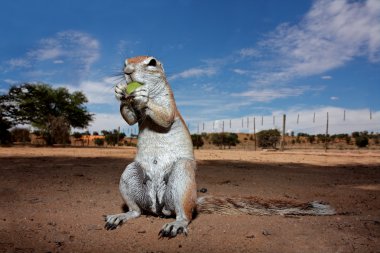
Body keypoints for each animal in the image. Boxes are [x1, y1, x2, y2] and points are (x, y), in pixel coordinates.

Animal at [104, 55, 336, 237]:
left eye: (152, 62)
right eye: (125, 62)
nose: (127, 72)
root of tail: (159, 207)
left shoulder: (169, 103)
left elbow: (165, 116)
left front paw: (143, 97)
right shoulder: (135, 114)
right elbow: (130, 119)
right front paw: (119, 91)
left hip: (182, 177)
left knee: (185, 214)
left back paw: (176, 224)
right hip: (131, 174)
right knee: (137, 211)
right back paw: (120, 216)